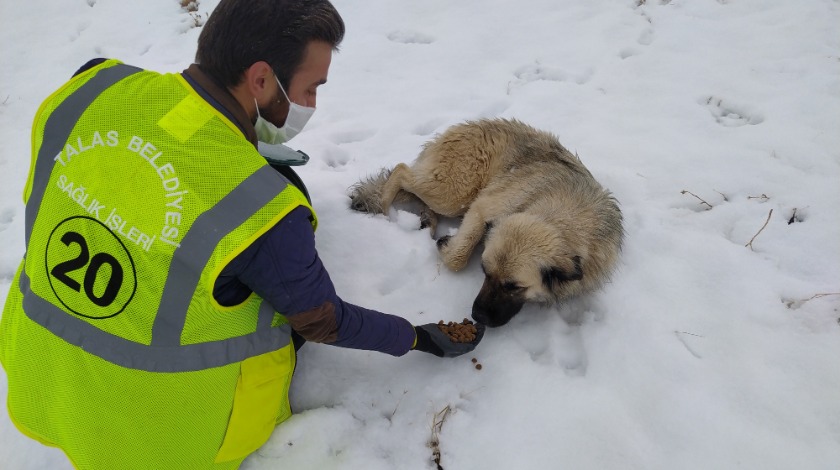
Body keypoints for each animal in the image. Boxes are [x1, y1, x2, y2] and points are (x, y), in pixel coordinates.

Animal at [348, 118, 624, 326]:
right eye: (483, 272)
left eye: (513, 286)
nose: (477, 316)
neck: (560, 217)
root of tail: (474, 124)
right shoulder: (482, 207)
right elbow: (458, 258)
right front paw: (448, 246)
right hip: (455, 193)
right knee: (401, 170)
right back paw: (384, 207)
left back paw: (428, 220)